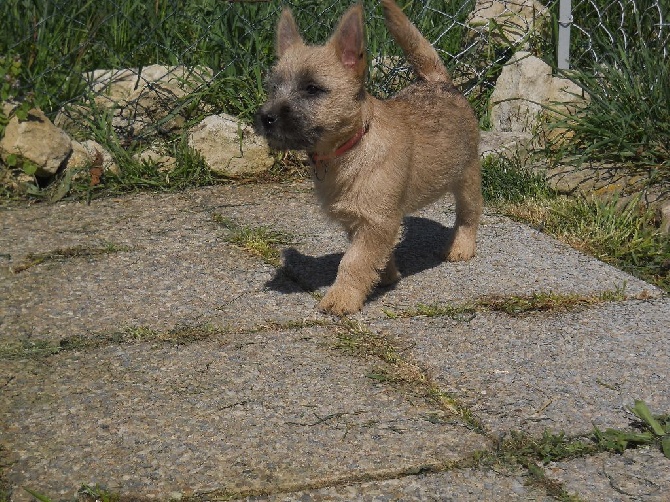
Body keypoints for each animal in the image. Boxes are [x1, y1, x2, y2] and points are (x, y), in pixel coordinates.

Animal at [258, 0, 484, 314]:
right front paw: (386, 275)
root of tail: (438, 82)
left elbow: (354, 261)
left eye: (312, 89)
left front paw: (342, 297)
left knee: (469, 213)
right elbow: (371, 255)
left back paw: (462, 246)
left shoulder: (376, 221)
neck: (350, 148)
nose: (265, 118)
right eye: (273, 88)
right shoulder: (360, 222)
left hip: (467, 177)